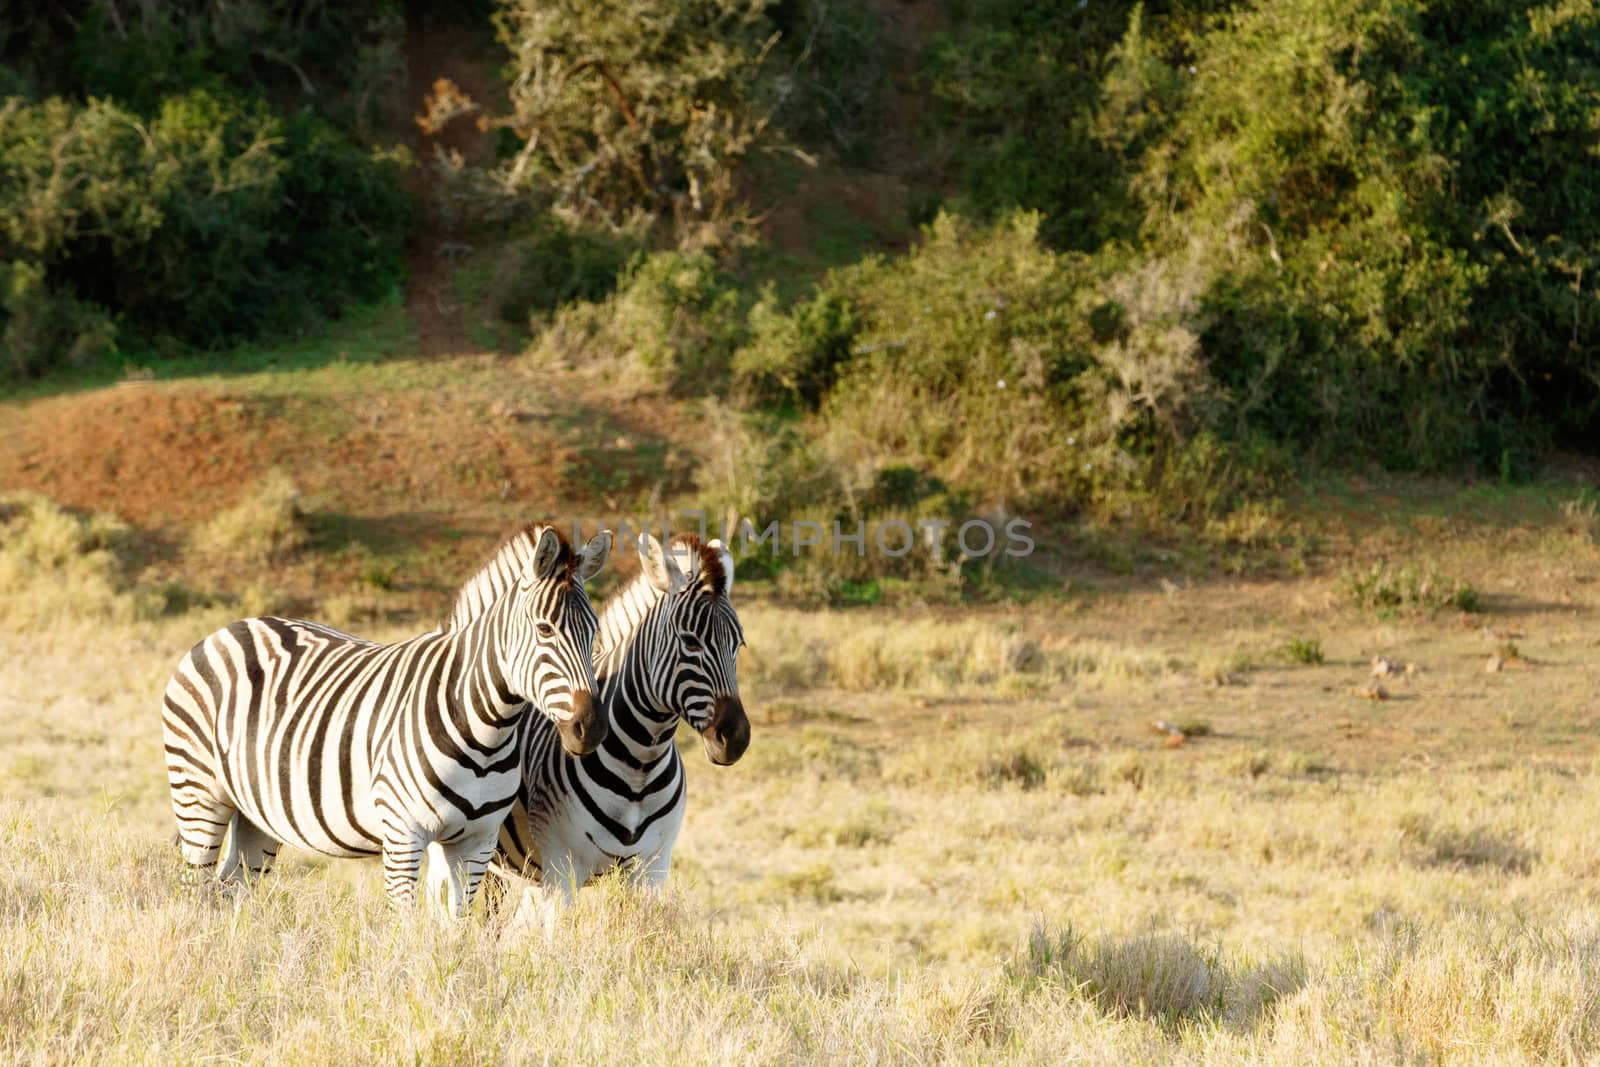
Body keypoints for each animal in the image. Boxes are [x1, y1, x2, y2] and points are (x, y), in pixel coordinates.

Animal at [160, 521, 611, 915]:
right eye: (545, 630)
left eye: (594, 633)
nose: (591, 729)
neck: (485, 723)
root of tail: (226, 630)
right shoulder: (403, 834)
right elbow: (407, 926)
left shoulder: (475, 843)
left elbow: (456, 927)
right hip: (198, 793)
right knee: (195, 890)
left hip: (256, 813)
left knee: (231, 887)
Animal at [454, 531, 745, 927]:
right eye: (690, 642)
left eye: (739, 643)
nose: (737, 739)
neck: (640, 763)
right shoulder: (563, 867)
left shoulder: (651, 871)